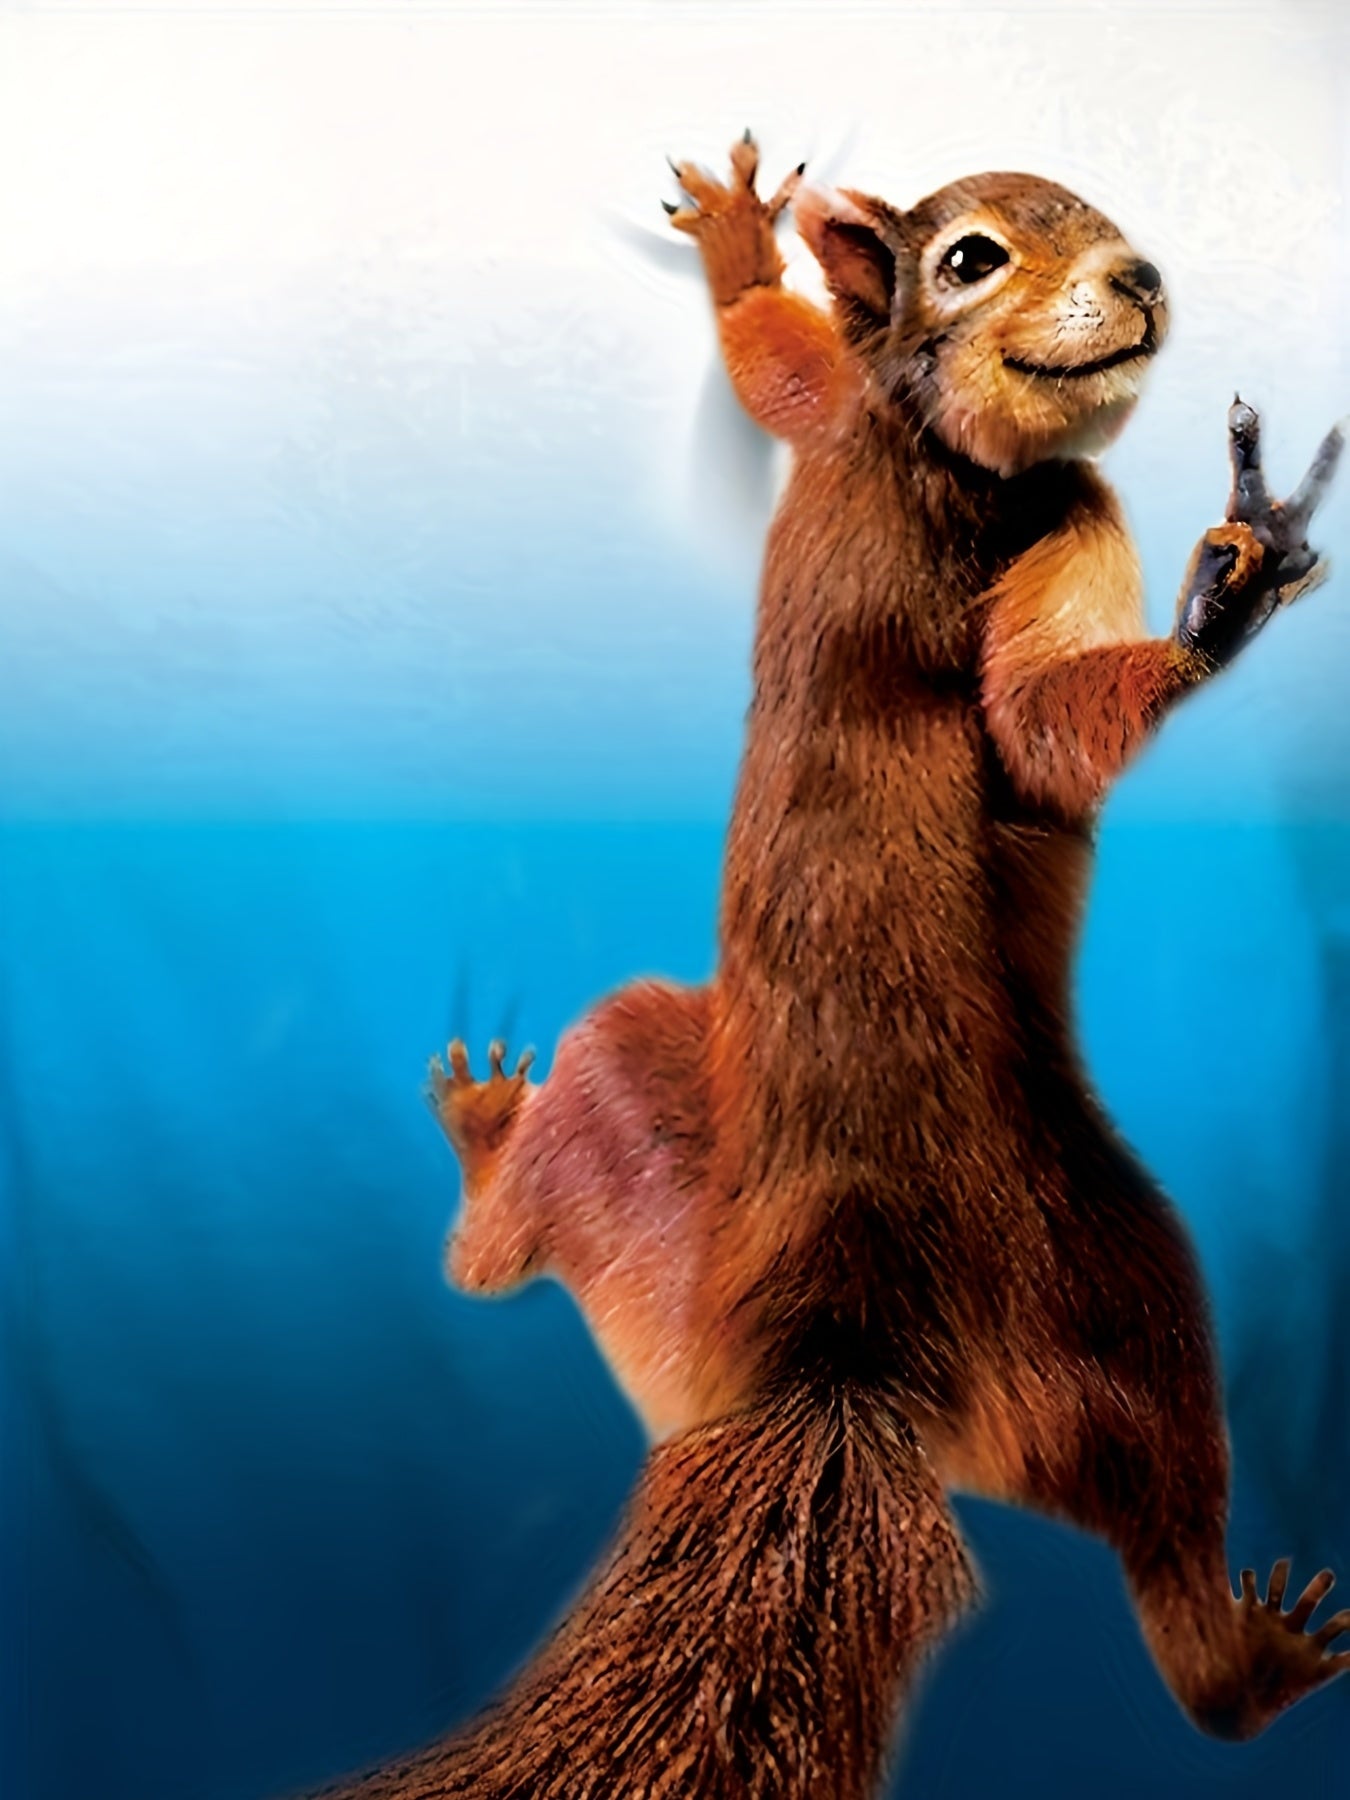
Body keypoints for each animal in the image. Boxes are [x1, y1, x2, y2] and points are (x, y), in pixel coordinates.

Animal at [323, 135, 1348, 1799]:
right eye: (970, 255)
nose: (1137, 278)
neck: (927, 448)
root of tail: (838, 1360)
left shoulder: (994, 492)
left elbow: (1024, 698)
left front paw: (1234, 578)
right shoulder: (994, 475)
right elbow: (782, 369)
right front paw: (1231, 582)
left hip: (700, 1259)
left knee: (493, 1264)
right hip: (1107, 1299)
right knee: (1171, 1553)